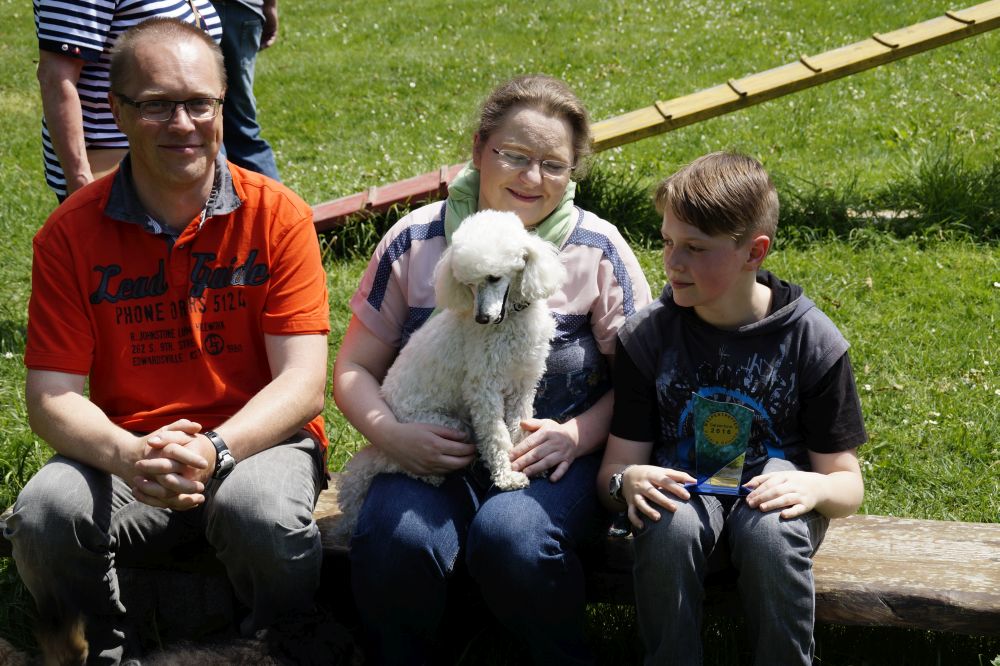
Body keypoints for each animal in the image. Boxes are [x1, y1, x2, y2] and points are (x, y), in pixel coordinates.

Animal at [334, 209, 567, 540]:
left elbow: (519, 426)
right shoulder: (483, 390)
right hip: (444, 426)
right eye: (468, 284)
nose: (481, 318)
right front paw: (507, 476)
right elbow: (496, 435)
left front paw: (526, 462)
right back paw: (429, 476)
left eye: (494, 278)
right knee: (386, 461)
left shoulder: (523, 383)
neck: (509, 322)